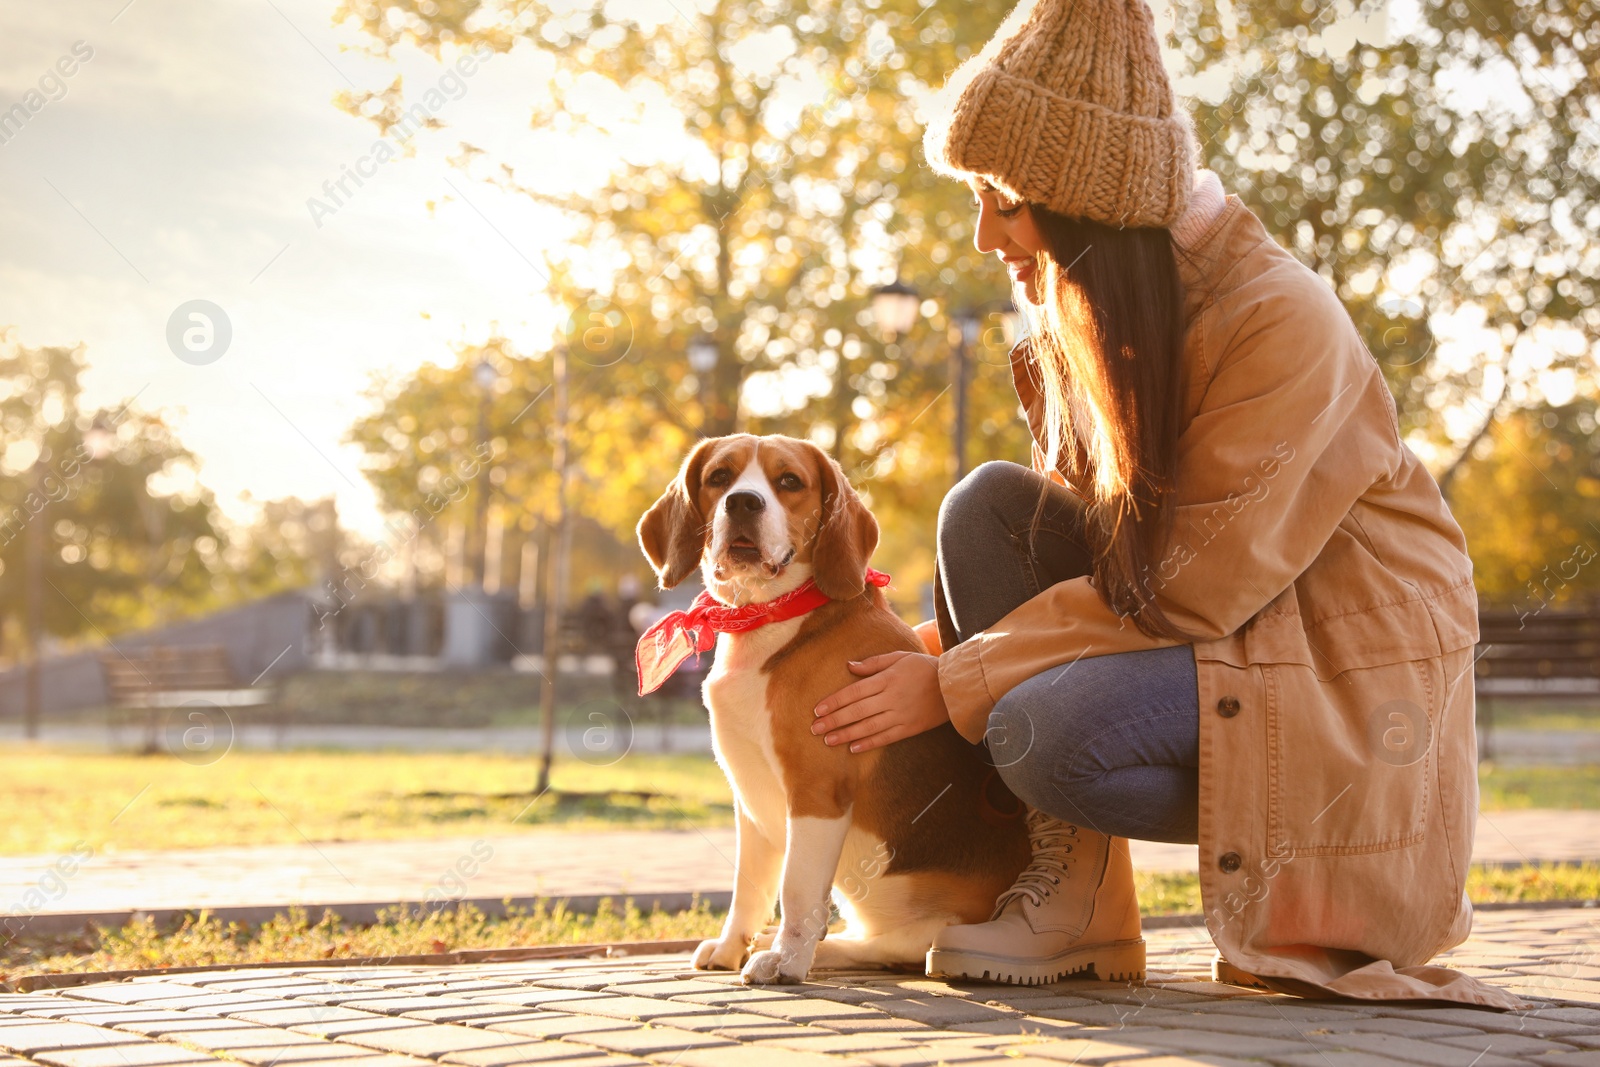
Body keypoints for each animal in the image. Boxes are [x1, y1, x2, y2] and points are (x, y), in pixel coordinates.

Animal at [633, 435, 1024, 985]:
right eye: (719, 477)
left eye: (789, 481)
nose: (743, 502)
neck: (768, 617)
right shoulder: (748, 796)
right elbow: (749, 886)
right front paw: (733, 947)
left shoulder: (816, 790)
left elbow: (796, 887)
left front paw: (786, 962)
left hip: (940, 927)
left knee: (898, 948)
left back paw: (814, 951)